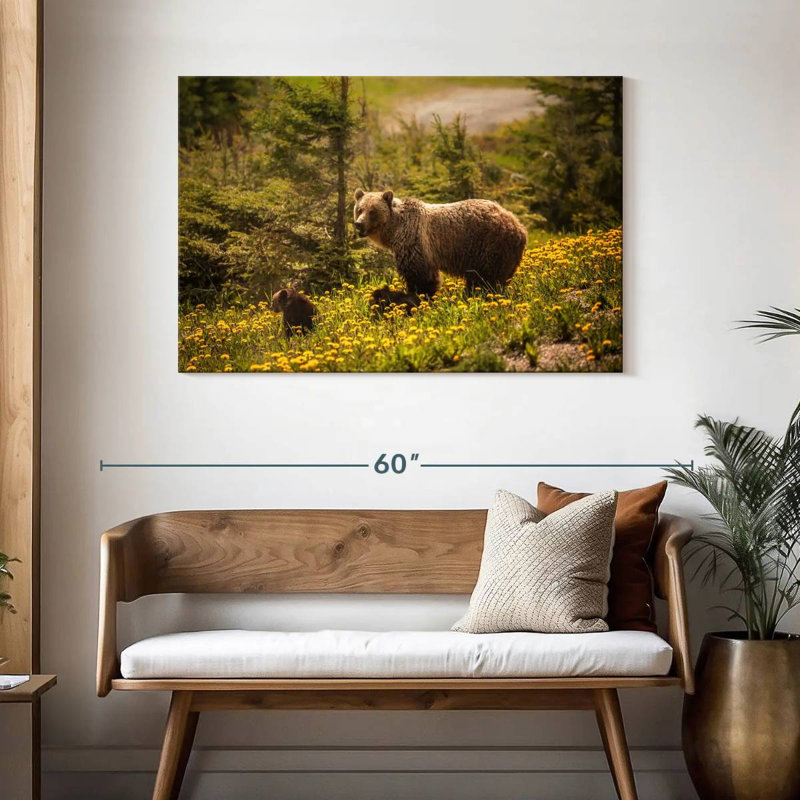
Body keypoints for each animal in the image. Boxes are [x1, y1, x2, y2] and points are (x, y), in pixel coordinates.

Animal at [353, 189, 527, 296]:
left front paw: (420, 296)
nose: (358, 224)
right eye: (359, 209)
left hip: (489, 245)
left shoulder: (415, 243)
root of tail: (519, 226)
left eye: (372, 211)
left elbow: (420, 276)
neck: (395, 229)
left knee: (486, 279)